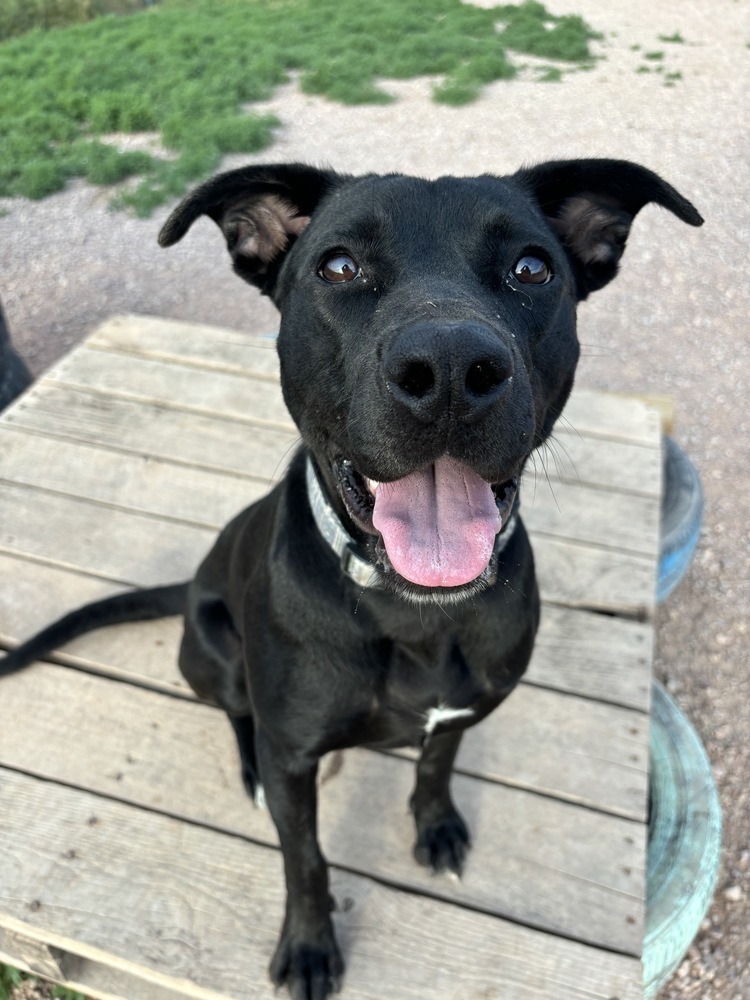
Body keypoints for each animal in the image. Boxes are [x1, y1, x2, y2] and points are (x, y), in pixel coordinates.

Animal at [1, 160, 704, 996]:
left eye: (532, 269)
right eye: (338, 267)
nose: (449, 370)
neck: (418, 615)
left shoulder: (462, 712)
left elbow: (435, 764)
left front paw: (435, 825)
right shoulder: (294, 757)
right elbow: (304, 857)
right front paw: (309, 945)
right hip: (213, 649)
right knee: (237, 712)